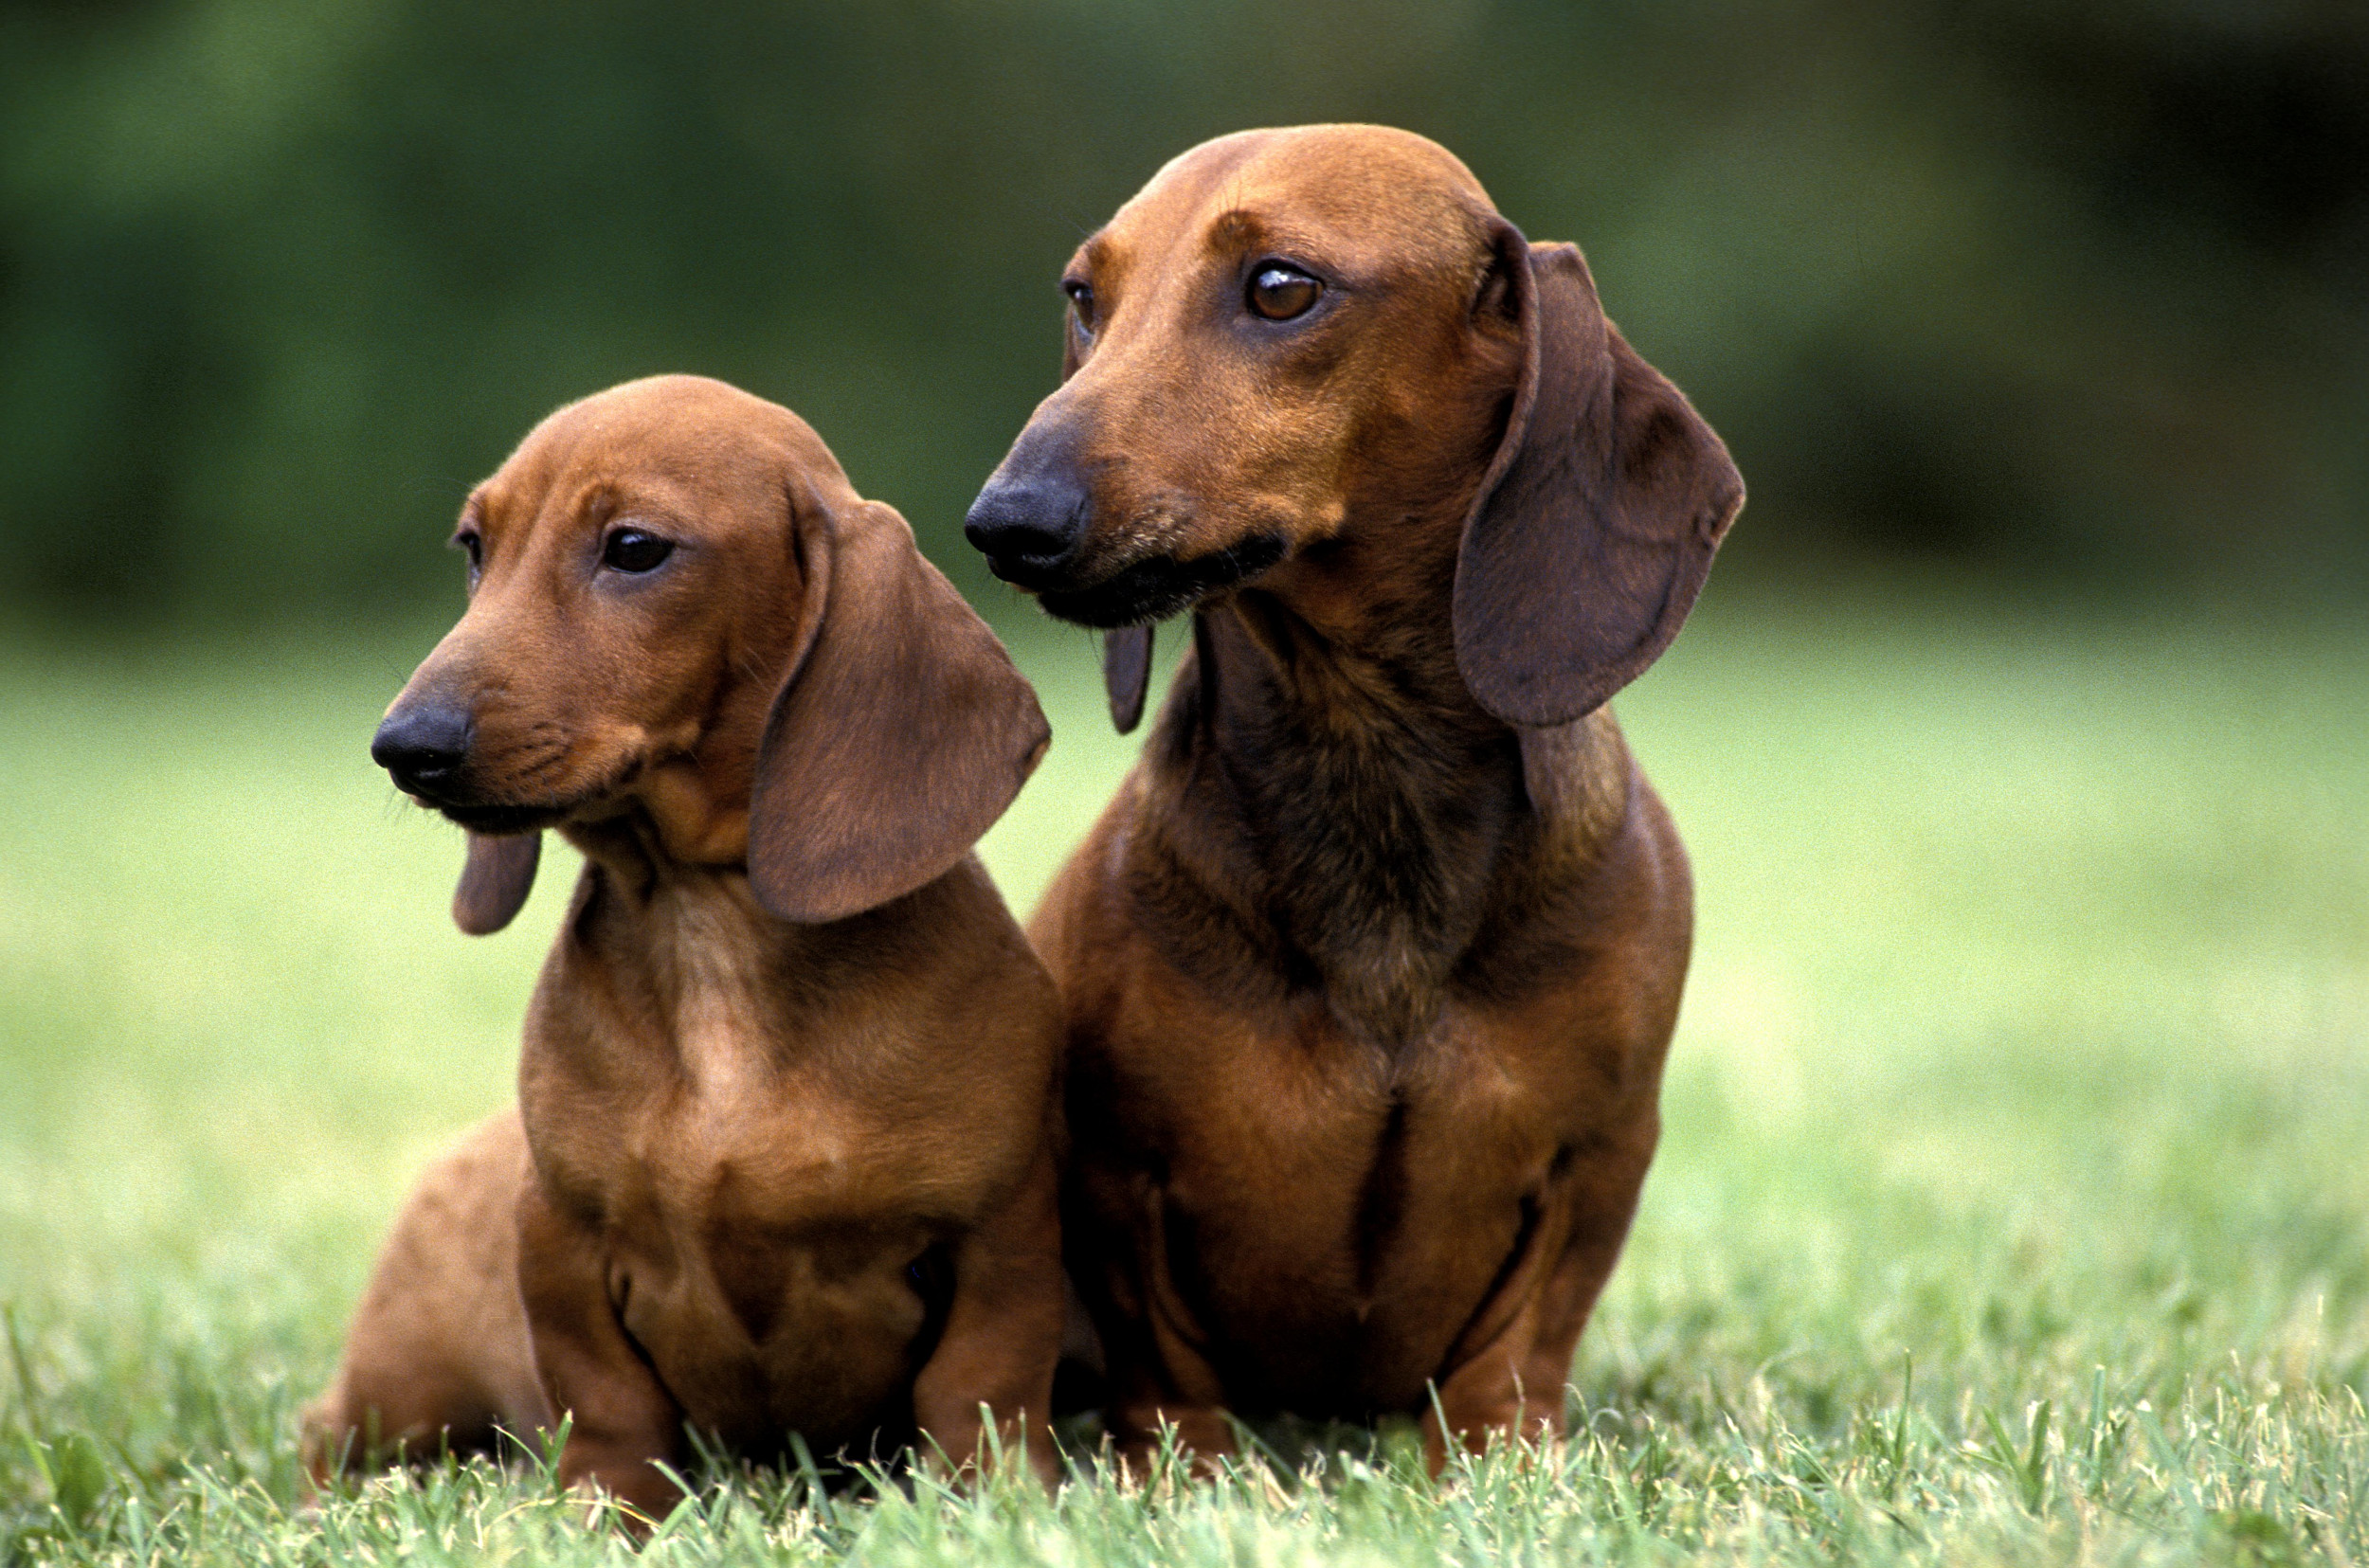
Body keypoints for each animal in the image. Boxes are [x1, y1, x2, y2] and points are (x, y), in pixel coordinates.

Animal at [305, 379, 1066, 1525]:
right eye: (475, 547)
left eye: (633, 548)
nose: (406, 745)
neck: (709, 928)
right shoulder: (562, 1240)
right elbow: (609, 1404)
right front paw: (606, 1519)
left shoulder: (1001, 1237)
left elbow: (981, 1385)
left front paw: (995, 1507)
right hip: (398, 1388)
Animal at [952, 126, 1753, 1478]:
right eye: (1083, 297)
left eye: (1281, 288)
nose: (1007, 522)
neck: (1367, 770)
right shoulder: (1120, 1174)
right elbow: (1165, 1364)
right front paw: (1186, 1476)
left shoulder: (1595, 1158)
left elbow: (1519, 1343)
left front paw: (1492, 1462)